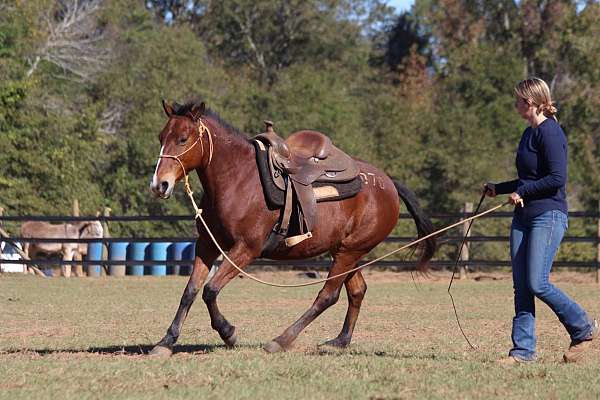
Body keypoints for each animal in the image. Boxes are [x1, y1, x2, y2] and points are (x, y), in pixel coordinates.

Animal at [148, 101, 434, 356]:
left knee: (328, 295)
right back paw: (340, 341)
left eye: (183, 139)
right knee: (356, 291)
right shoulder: (206, 245)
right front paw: (166, 341)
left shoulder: (246, 249)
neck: (239, 179)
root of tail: (389, 184)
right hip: (344, 250)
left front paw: (228, 333)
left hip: (350, 251)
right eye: (161, 137)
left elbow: (210, 290)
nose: (159, 184)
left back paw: (281, 340)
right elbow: (190, 291)